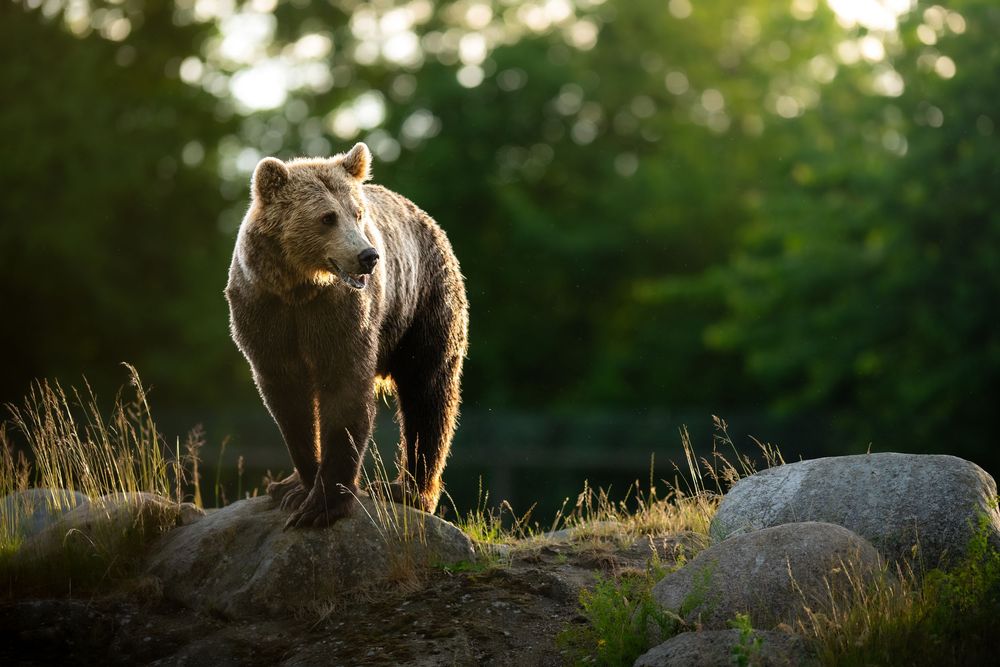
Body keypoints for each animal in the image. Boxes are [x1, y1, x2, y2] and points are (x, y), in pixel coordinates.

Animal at [225, 143, 468, 528]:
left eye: (357, 213)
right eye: (327, 217)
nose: (368, 256)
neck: (300, 286)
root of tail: (427, 219)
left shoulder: (340, 315)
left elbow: (344, 388)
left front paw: (322, 504)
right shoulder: (265, 311)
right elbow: (288, 401)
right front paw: (303, 486)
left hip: (424, 299)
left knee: (428, 390)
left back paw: (408, 490)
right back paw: (283, 485)